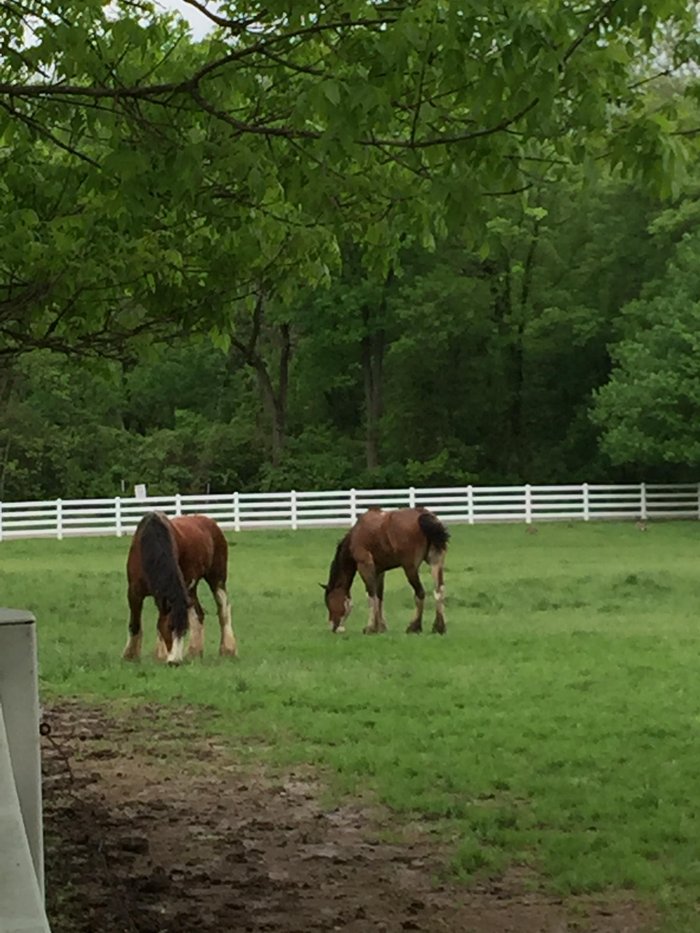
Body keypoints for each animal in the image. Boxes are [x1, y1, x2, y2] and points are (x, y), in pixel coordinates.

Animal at [121, 512, 237, 668]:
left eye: (184, 630)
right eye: (170, 627)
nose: (175, 663)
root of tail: (210, 522)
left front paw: (161, 655)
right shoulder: (134, 593)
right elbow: (135, 624)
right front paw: (130, 656)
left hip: (217, 579)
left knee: (223, 609)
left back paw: (228, 649)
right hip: (190, 590)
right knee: (199, 614)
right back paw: (194, 652)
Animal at [322, 506, 448, 636]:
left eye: (329, 602)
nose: (333, 626)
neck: (356, 534)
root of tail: (422, 514)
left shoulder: (365, 566)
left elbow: (371, 595)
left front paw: (371, 627)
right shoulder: (379, 571)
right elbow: (379, 597)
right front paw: (381, 627)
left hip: (410, 568)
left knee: (420, 593)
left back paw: (414, 626)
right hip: (436, 562)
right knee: (439, 590)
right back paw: (439, 627)